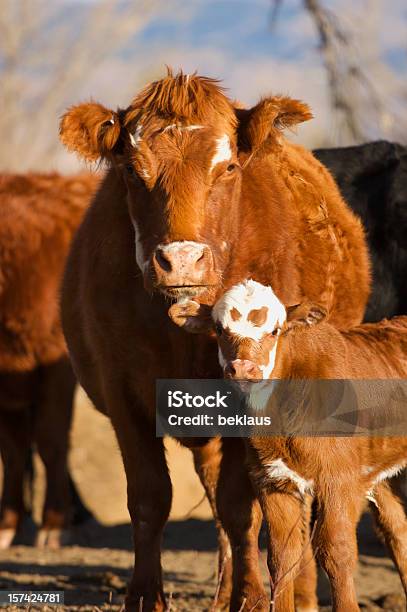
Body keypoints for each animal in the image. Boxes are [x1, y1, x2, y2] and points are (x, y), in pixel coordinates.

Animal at [59, 69, 372, 608]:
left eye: (227, 168)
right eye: (132, 171)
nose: (182, 261)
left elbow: (239, 506)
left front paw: (252, 596)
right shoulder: (122, 394)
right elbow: (150, 498)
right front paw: (146, 596)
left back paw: (300, 592)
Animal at [212, 280, 407, 612]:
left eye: (274, 331)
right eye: (219, 329)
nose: (242, 369)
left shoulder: (339, 480)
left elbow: (335, 551)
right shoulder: (272, 480)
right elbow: (282, 557)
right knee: (397, 529)